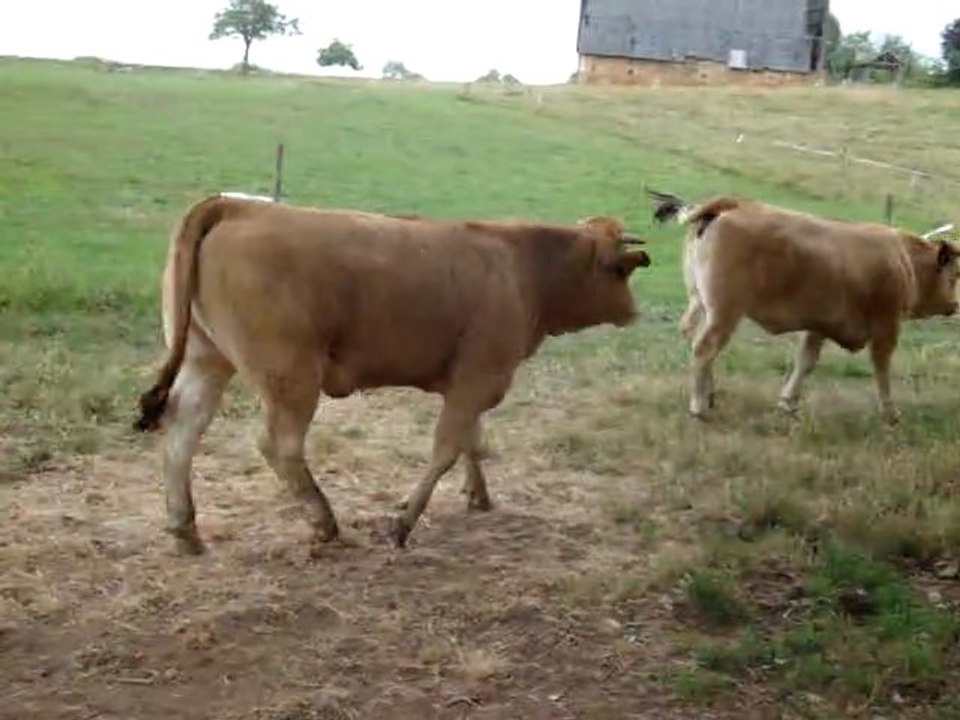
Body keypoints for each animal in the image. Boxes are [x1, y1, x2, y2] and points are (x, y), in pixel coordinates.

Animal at [134, 194, 651, 555]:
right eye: (621, 273)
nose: (633, 311)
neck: (521, 264)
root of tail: (236, 204)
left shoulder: (472, 382)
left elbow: (472, 440)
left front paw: (478, 496)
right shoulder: (478, 380)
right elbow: (447, 449)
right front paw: (404, 522)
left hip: (206, 359)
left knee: (182, 429)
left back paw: (185, 529)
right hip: (291, 376)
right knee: (279, 446)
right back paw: (324, 522)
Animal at [647, 190, 960, 423]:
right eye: (956, 274)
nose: (955, 305)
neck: (903, 259)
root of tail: (735, 203)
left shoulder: (819, 325)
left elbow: (805, 363)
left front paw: (787, 403)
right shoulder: (887, 328)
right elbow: (882, 370)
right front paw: (890, 412)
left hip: (700, 303)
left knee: (694, 340)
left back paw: (710, 395)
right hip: (725, 313)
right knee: (704, 349)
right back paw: (699, 406)